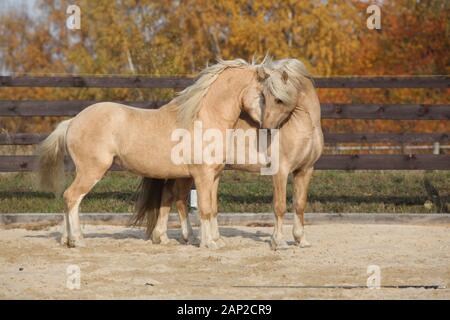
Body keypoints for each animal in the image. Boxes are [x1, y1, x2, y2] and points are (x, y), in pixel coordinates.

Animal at [37, 57, 300, 249]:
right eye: (266, 95)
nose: (272, 126)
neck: (202, 118)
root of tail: (72, 122)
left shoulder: (214, 176)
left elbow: (213, 209)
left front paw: (216, 240)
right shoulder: (202, 176)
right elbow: (204, 208)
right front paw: (208, 244)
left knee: (69, 199)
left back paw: (67, 239)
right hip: (92, 171)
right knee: (72, 197)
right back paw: (78, 240)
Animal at [141, 59, 324, 250]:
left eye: (279, 99)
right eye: (265, 96)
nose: (266, 128)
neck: (306, 126)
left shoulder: (305, 170)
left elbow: (300, 204)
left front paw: (301, 240)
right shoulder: (280, 171)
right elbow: (280, 206)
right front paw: (279, 242)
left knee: (169, 196)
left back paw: (164, 236)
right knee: (177, 198)